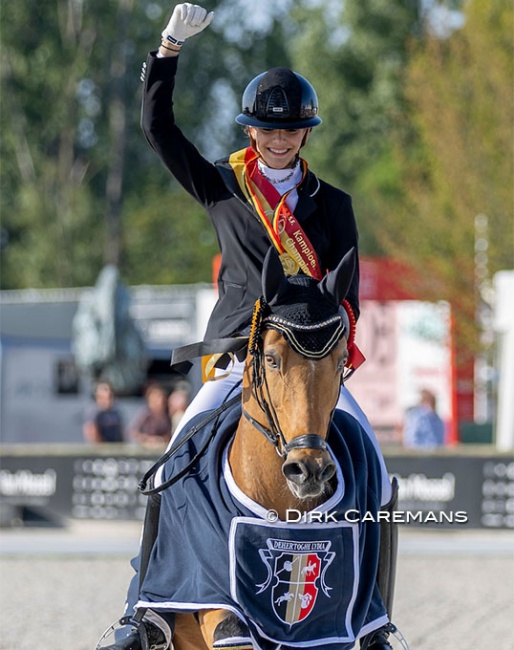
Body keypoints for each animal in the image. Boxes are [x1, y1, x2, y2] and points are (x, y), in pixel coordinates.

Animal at [98, 247, 390, 648]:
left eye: (341, 360)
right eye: (271, 358)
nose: (309, 470)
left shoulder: (327, 630)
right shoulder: (209, 590)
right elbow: (230, 627)